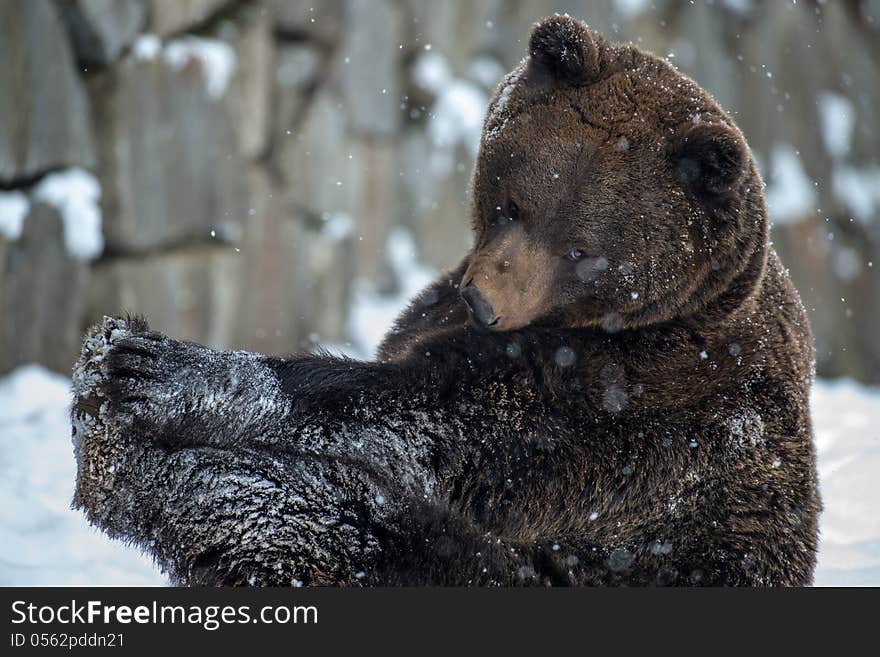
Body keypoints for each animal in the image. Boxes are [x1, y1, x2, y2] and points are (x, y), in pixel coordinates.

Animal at [72, 15, 820, 584]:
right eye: (512, 202)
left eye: (583, 251)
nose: (485, 302)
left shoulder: (630, 404)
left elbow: (423, 417)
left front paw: (166, 370)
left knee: (313, 511)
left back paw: (116, 432)